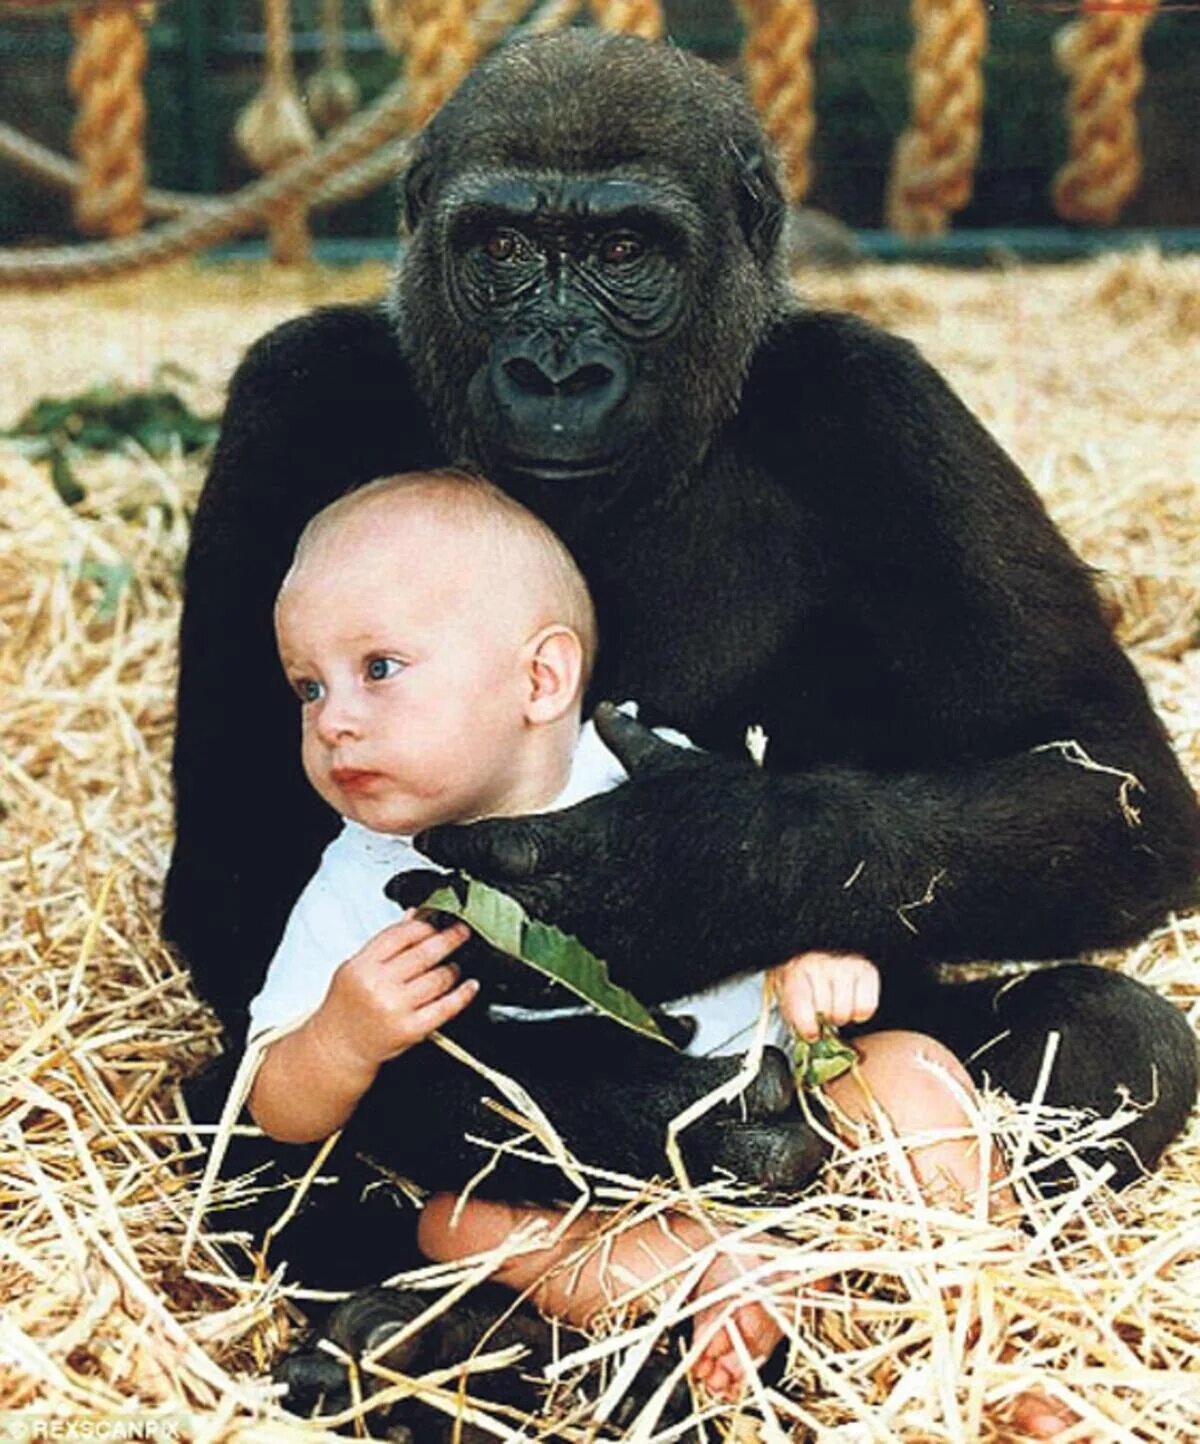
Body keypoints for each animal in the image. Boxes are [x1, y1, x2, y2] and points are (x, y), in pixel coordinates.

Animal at [166, 22, 1200, 1415]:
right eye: (501, 248)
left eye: (621, 254)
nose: (552, 369)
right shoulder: (290, 392)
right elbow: (238, 870)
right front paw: (620, 1112)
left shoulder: (885, 401)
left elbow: (1106, 779)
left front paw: (677, 870)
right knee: (246, 1112)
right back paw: (441, 1336)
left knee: (1115, 1035)